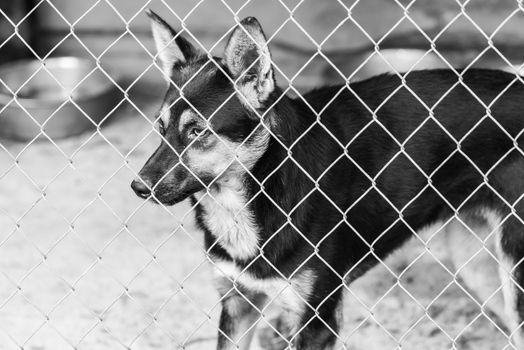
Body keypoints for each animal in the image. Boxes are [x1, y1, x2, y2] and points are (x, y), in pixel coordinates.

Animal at [132, 8, 524, 350]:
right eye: (160, 127)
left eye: (197, 131)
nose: (138, 187)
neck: (262, 191)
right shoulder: (238, 304)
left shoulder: (317, 320)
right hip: (477, 266)